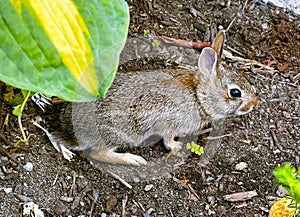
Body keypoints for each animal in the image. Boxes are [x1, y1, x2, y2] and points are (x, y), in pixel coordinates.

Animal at [34, 30, 258, 166]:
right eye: (235, 92)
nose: (255, 104)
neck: (198, 95)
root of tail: (70, 133)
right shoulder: (170, 123)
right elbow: (168, 139)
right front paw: (177, 147)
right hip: (121, 133)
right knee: (98, 153)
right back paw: (133, 159)